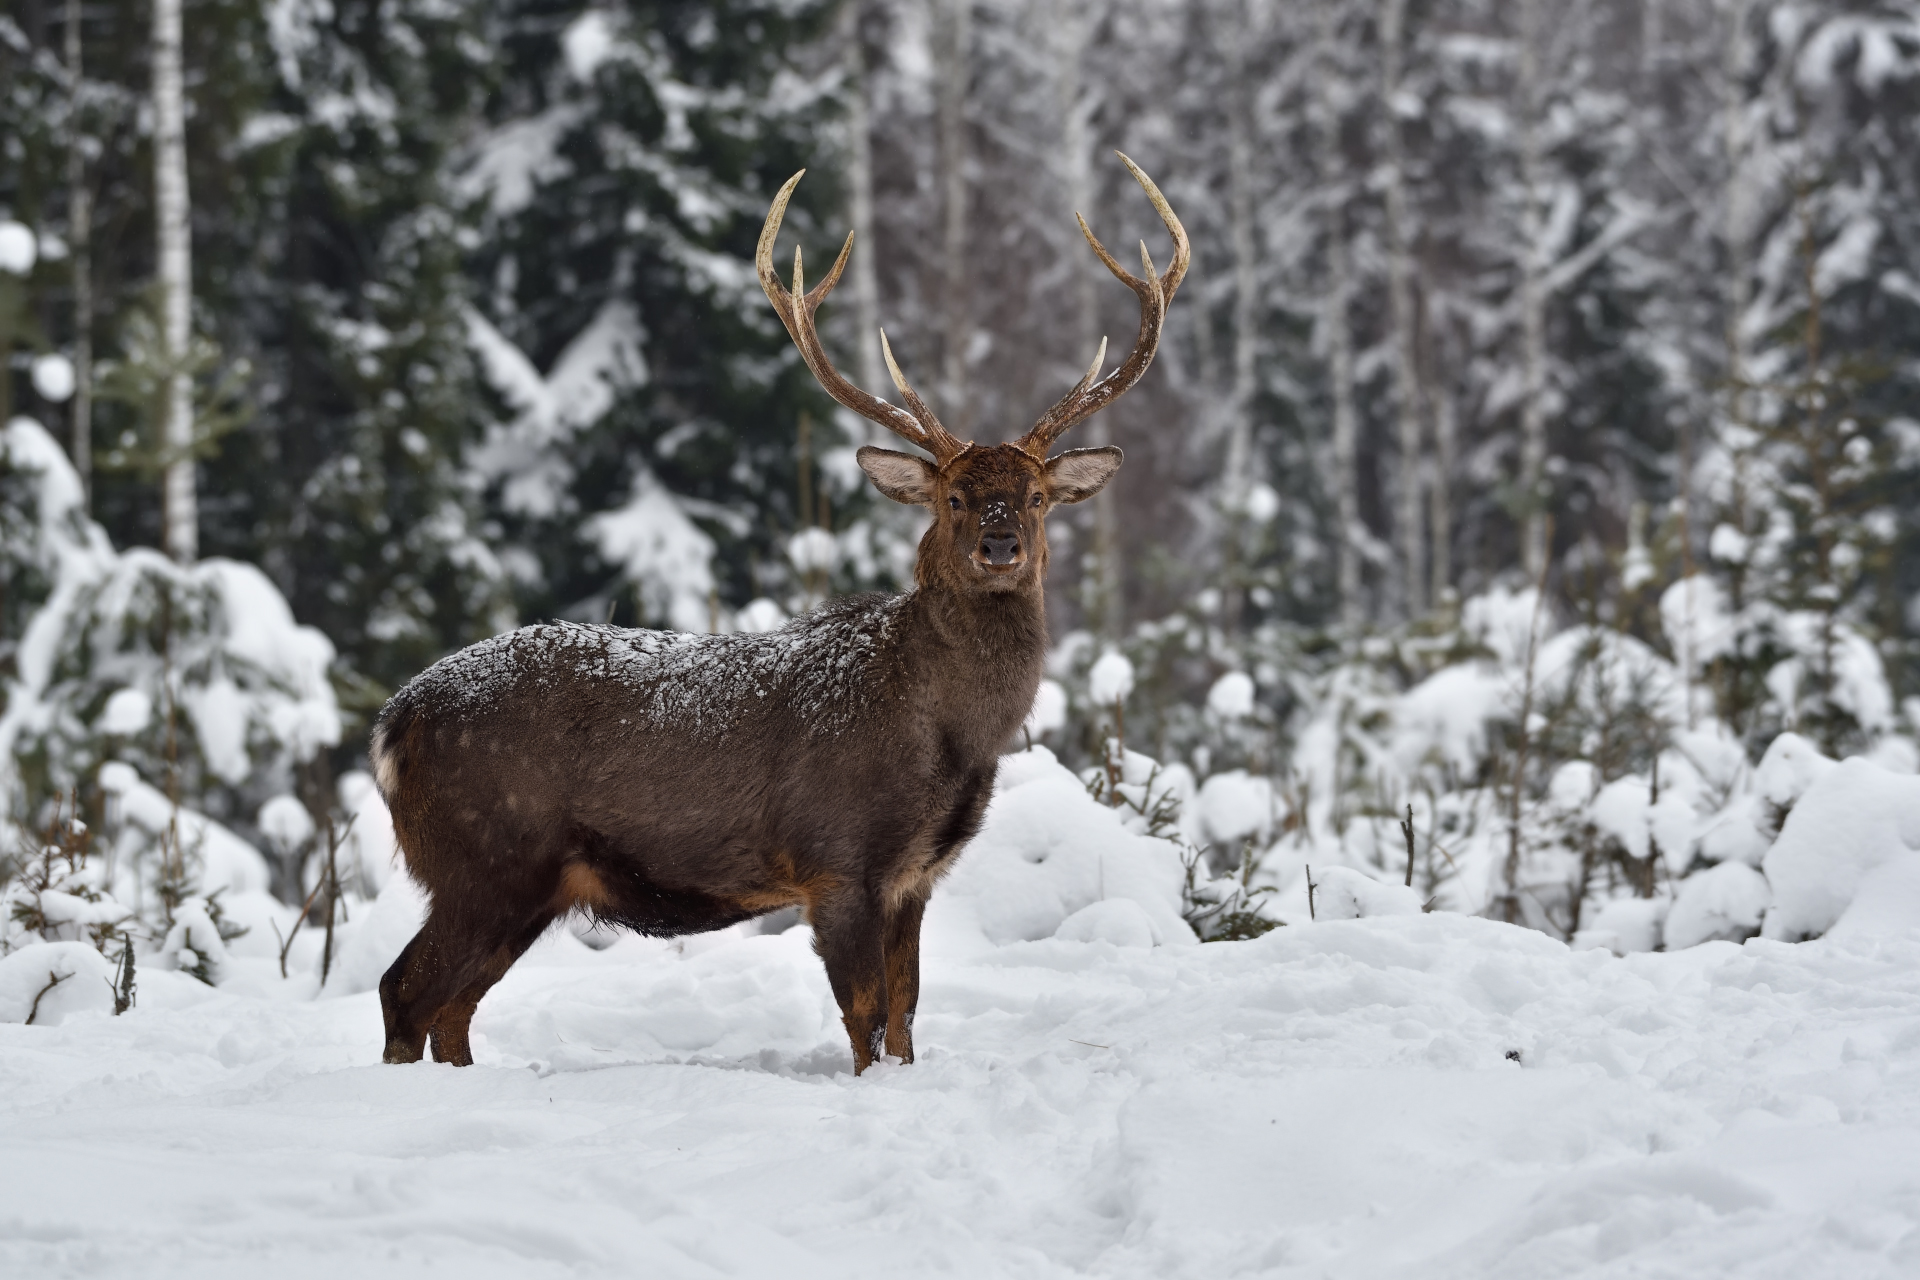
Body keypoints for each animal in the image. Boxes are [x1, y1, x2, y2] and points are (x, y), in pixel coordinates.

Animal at [366, 152, 1182, 1074]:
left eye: (1038, 495)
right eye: (955, 496)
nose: (1001, 544)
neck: (948, 736)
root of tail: (392, 725)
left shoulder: (916, 876)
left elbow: (907, 1016)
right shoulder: (838, 859)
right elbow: (866, 1018)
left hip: (521, 881)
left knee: (451, 1009)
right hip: (487, 852)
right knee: (405, 990)